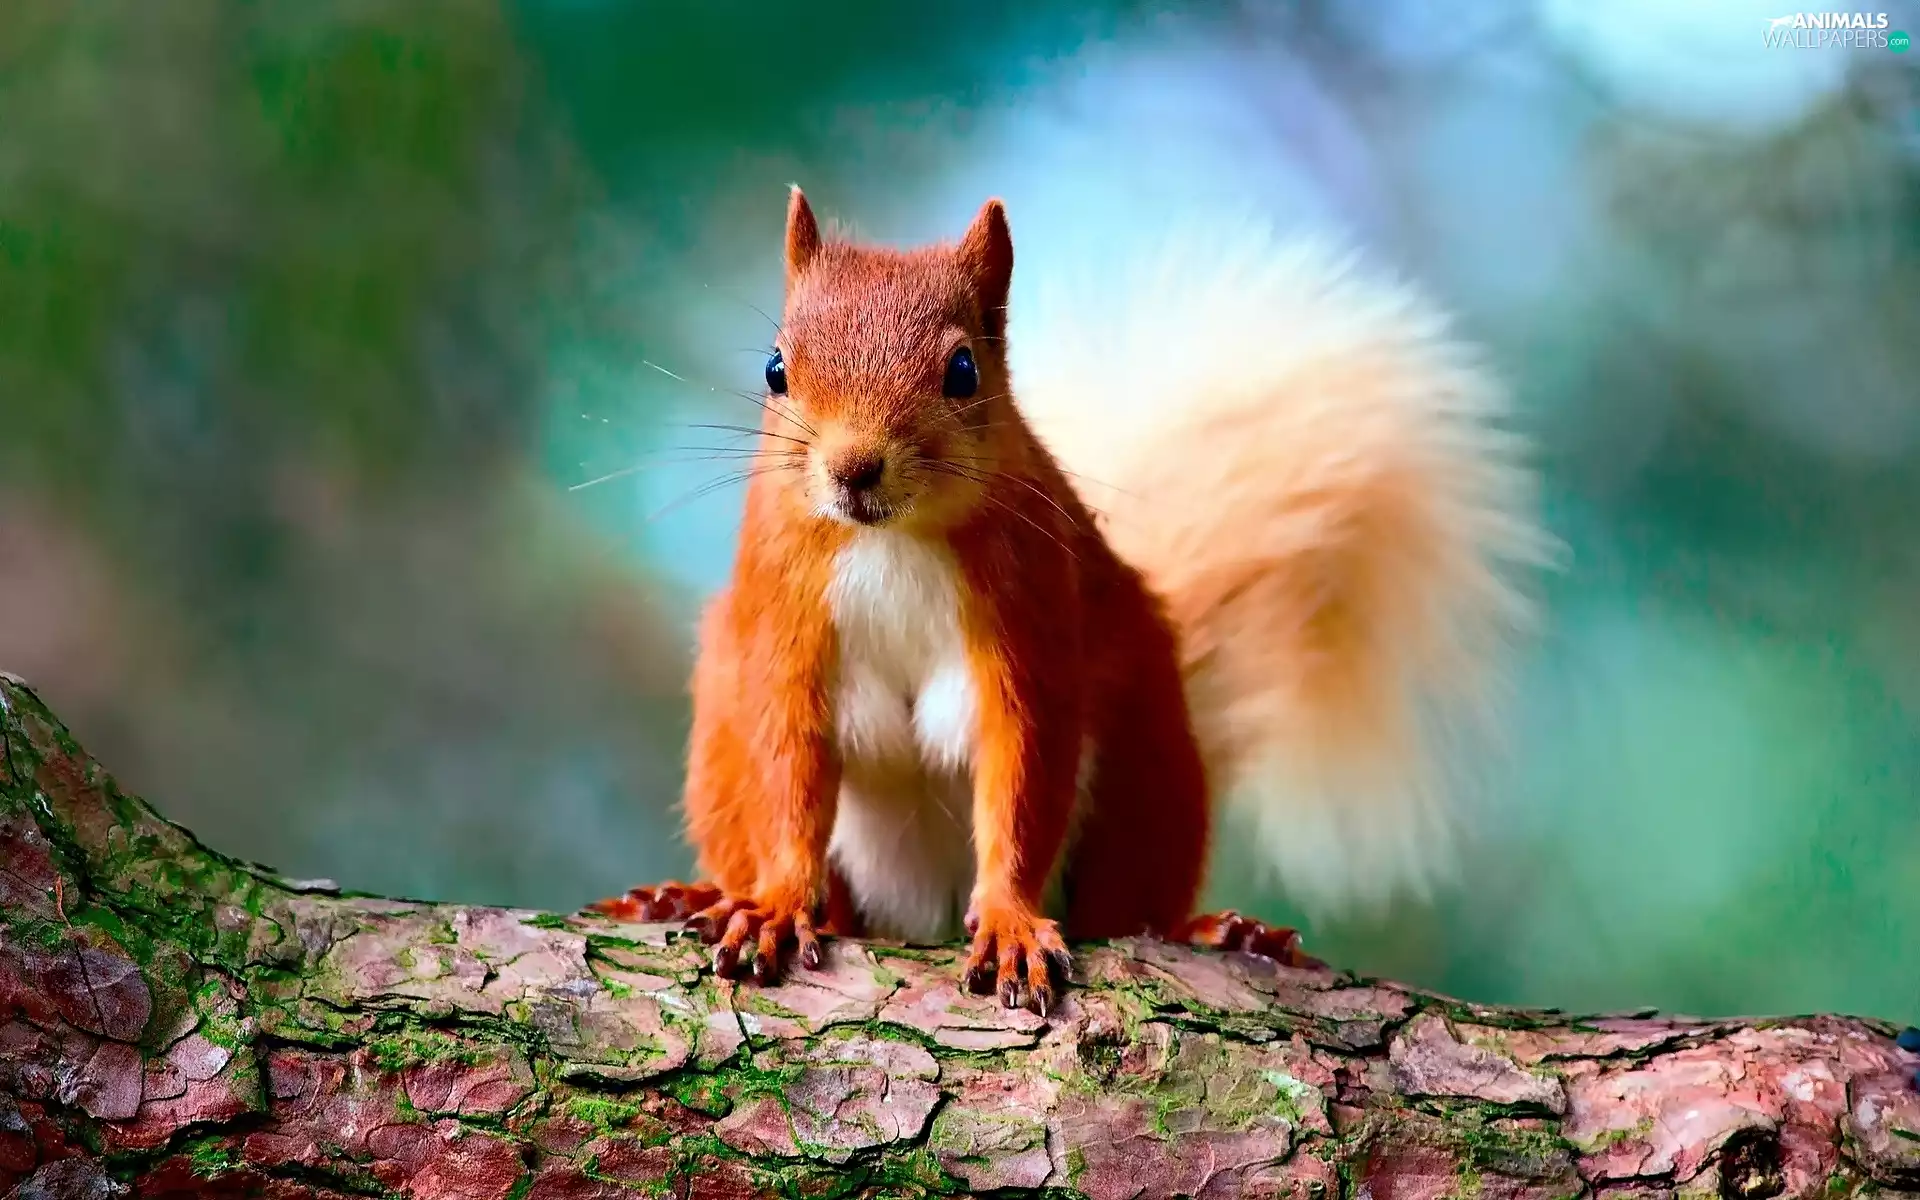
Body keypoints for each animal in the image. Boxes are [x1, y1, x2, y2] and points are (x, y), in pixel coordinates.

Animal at [592, 187, 1551, 1014]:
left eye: (965, 370)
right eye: (776, 368)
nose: (853, 468)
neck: (890, 538)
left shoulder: (1032, 622)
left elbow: (1022, 774)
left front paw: (1011, 922)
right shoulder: (784, 620)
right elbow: (788, 769)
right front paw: (779, 905)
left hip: (1146, 763)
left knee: (1125, 905)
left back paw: (1223, 932)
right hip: (720, 725)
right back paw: (690, 895)